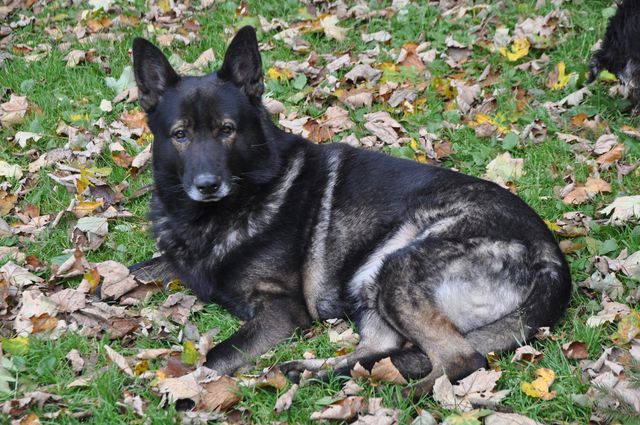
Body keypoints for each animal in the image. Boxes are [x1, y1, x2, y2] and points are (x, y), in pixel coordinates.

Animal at [131, 26, 571, 397]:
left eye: (227, 130)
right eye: (180, 134)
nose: (207, 185)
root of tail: (551, 258)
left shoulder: (279, 309)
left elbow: (217, 355)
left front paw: (184, 386)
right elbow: (139, 270)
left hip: (397, 266)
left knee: (461, 357)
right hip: (369, 279)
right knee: (382, 347)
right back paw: (313, 374)